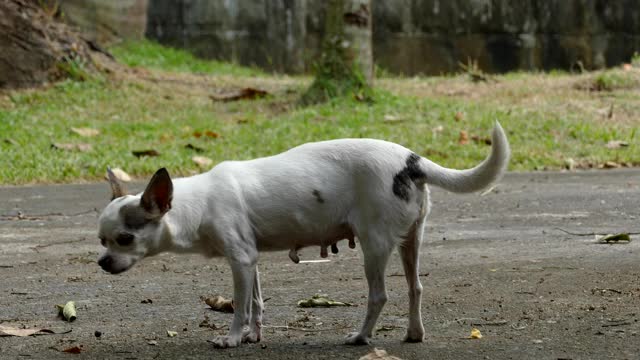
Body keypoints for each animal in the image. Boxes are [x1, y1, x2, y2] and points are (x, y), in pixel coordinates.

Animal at [96, 122, 510, 348]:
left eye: (124, 239)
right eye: (102, 240)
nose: (101, 262)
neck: (196, 204)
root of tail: (412, 160)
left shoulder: (240, 261)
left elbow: (240, 306)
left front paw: (231, 338)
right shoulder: (251, 260)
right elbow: (257, 303)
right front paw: (253, 336)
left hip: (374, 247)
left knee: (379, 295)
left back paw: (361, 337)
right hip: (412, 242)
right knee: (415, 288)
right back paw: (414, 334)